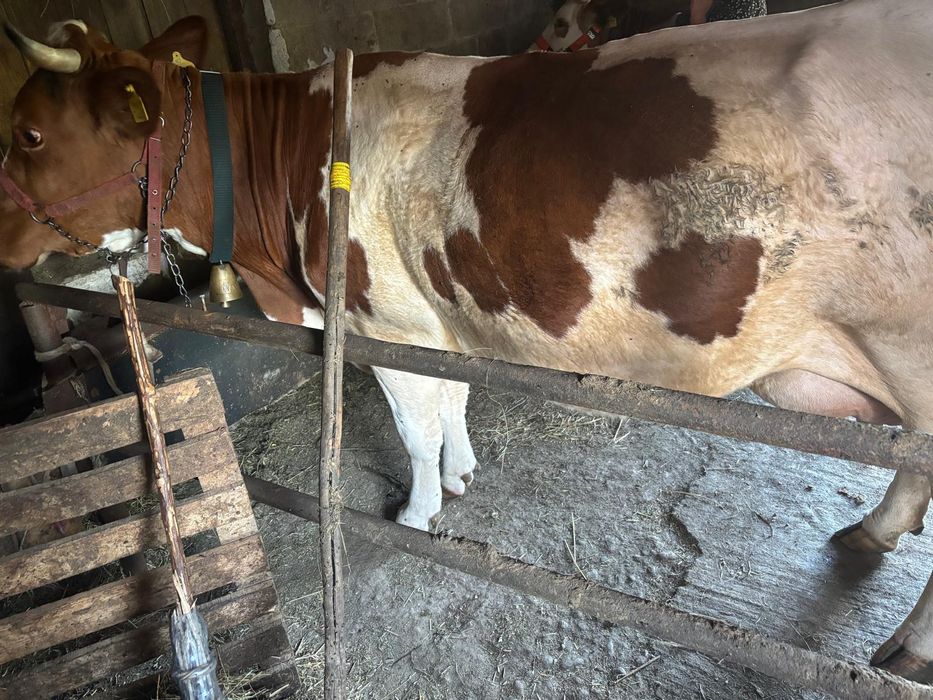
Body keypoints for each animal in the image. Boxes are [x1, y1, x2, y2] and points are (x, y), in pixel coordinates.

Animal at [0, 1, 930, 681]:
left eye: (29, 133)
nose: (2, 236)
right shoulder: (433, 322)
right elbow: (452, 399)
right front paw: (460, 472)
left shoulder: (382, 321)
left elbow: (413, 425)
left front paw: (417, 509)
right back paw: (871, 534)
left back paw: (907, 645)